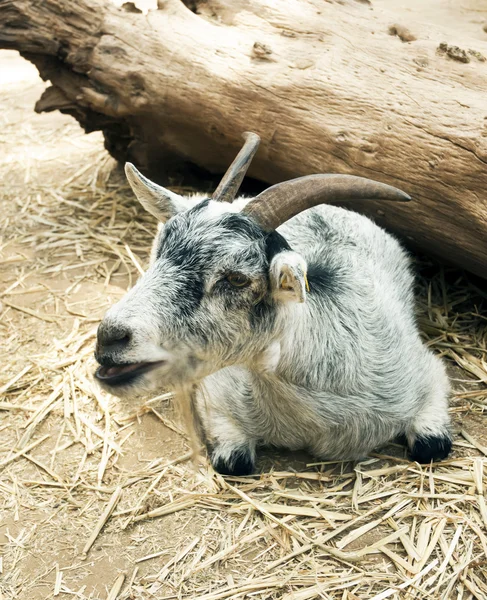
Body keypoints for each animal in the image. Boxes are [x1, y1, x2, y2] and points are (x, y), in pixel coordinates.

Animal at [95, 134, 454, 476]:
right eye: (161, 252)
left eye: (237, 278)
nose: (109, 337)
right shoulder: (217, 395)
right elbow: (234, 463)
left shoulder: (428, 373)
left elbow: (432, 447)